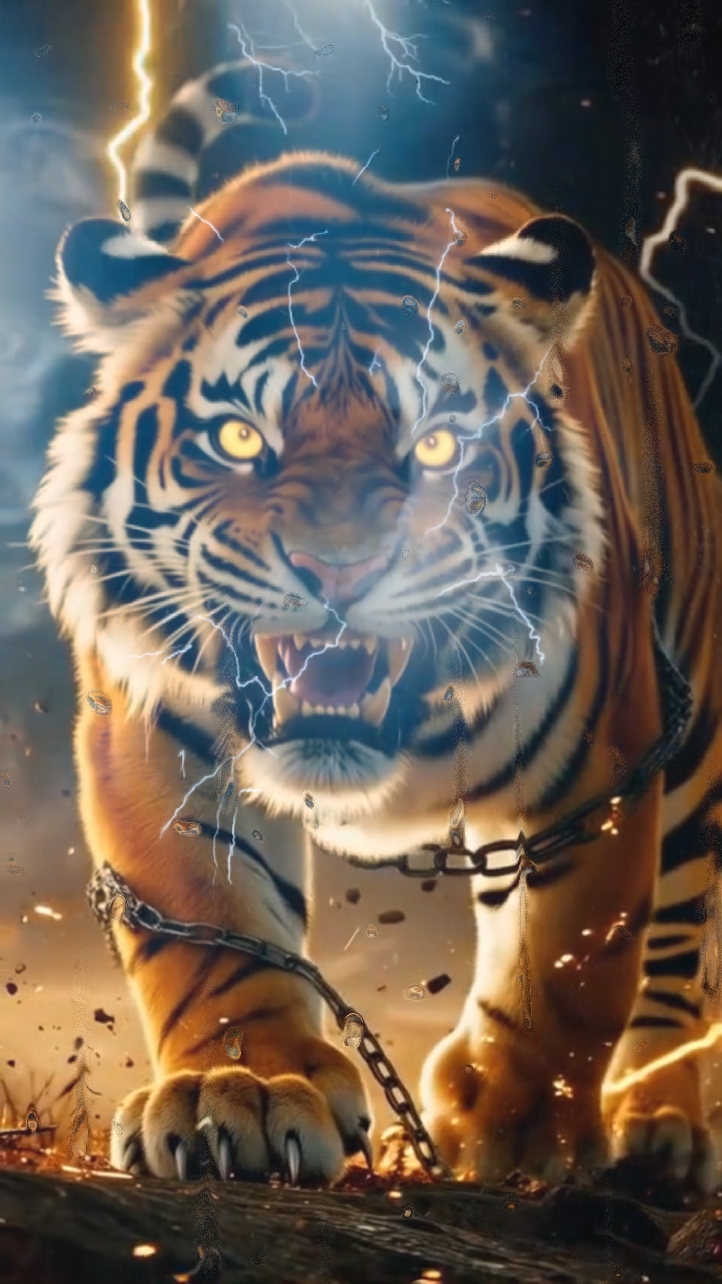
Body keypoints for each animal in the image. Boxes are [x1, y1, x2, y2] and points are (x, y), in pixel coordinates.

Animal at [30, 62, 722, 1191]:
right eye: (240, 438)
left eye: (437, 443)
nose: (341, 566)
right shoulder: (151, 732)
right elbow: (209, 931)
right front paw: (243, 1090)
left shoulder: (606, 762)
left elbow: (572, 957)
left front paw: (517, 1127)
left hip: (693, 725)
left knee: (676, 944)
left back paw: (658, 1124)